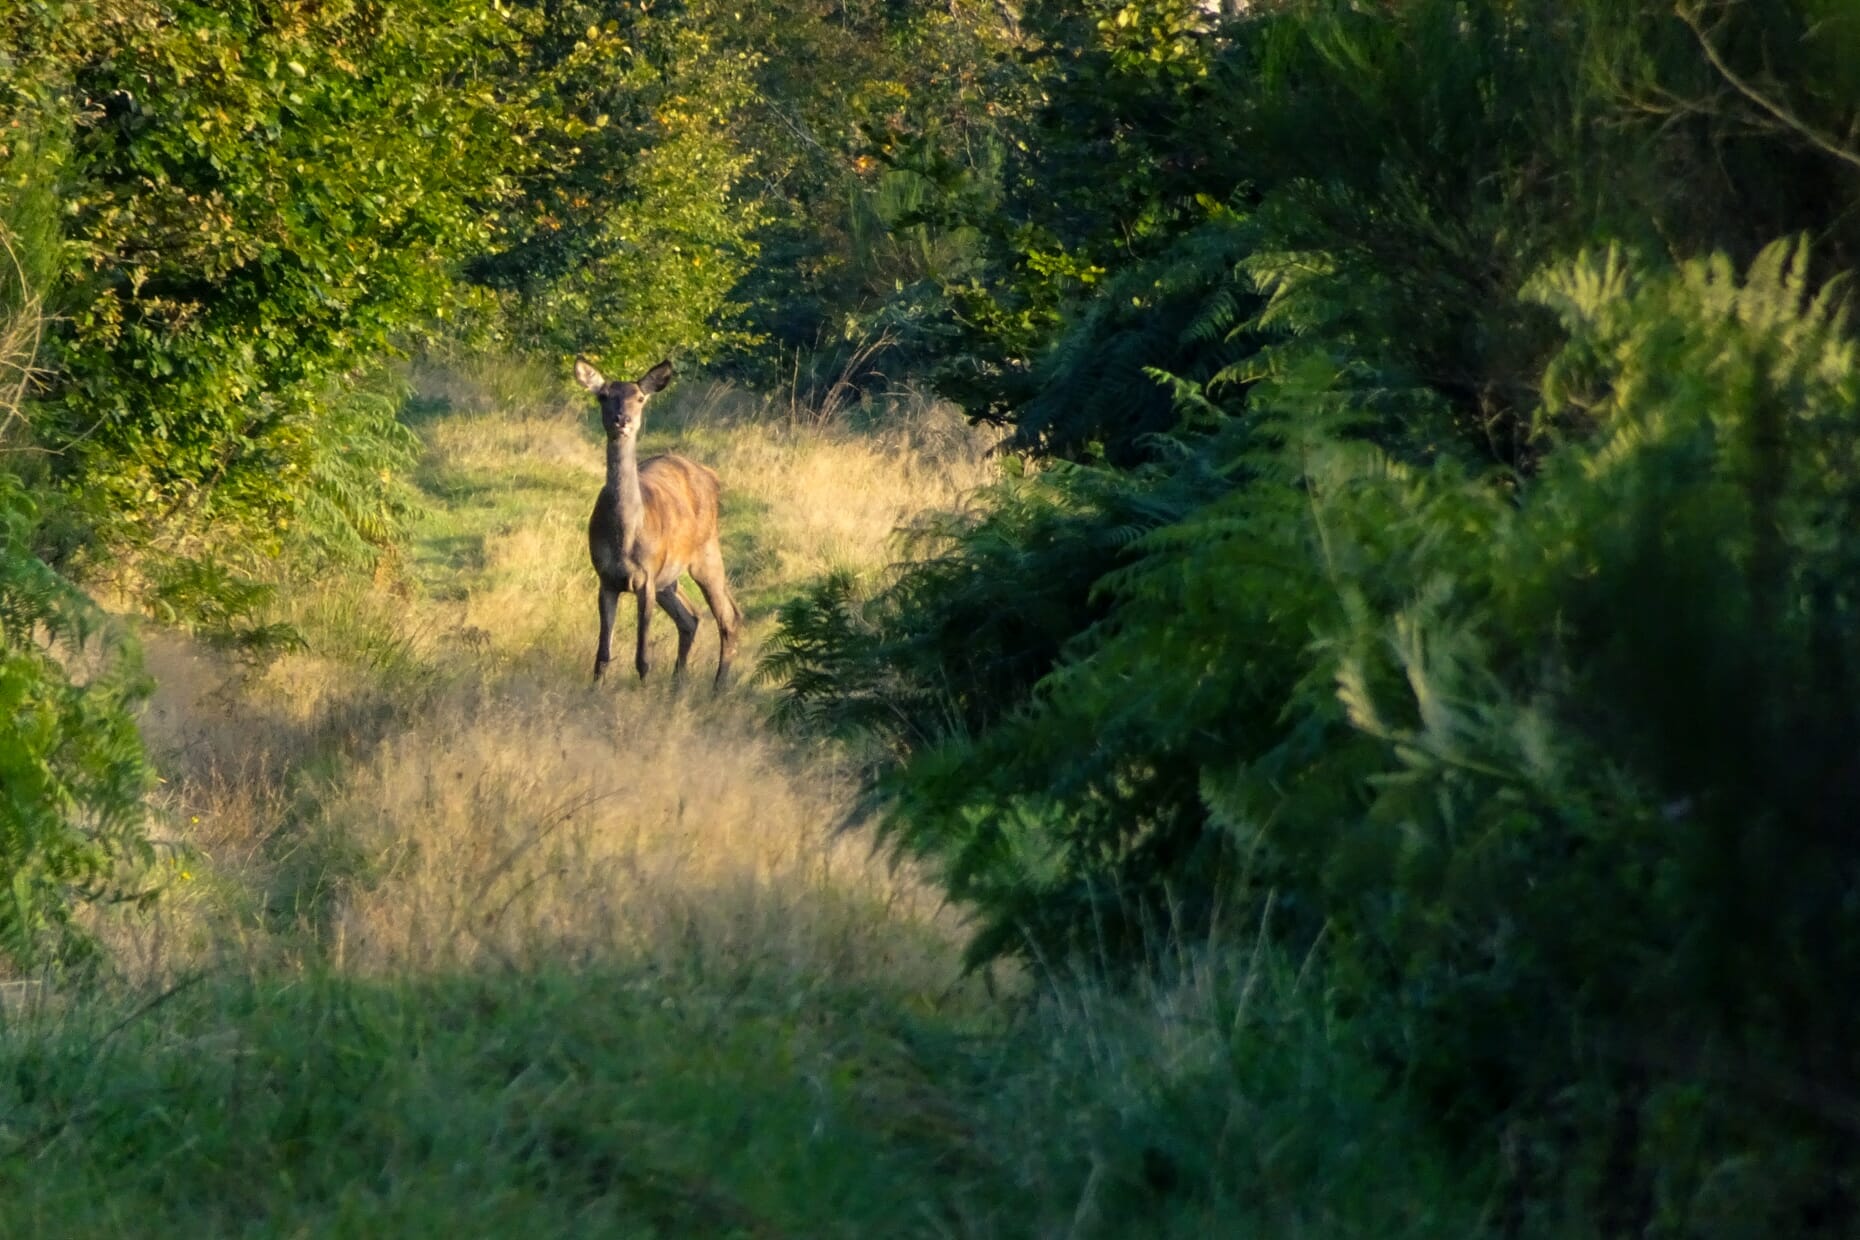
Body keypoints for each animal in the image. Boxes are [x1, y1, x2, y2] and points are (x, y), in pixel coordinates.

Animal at [572, 356, 740, 687]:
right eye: (603, 396)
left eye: (639, 398)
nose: (621, 420)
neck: (625, 538)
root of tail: (710, 475)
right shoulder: (606, 578)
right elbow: (602, 654)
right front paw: (595, 691)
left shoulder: (646, 577)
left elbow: (642, 656)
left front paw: (643, 689)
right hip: (669, 577)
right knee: (690, 617)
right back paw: (678, 684)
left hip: (706, 552)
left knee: (728, 616)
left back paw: (718, 687)